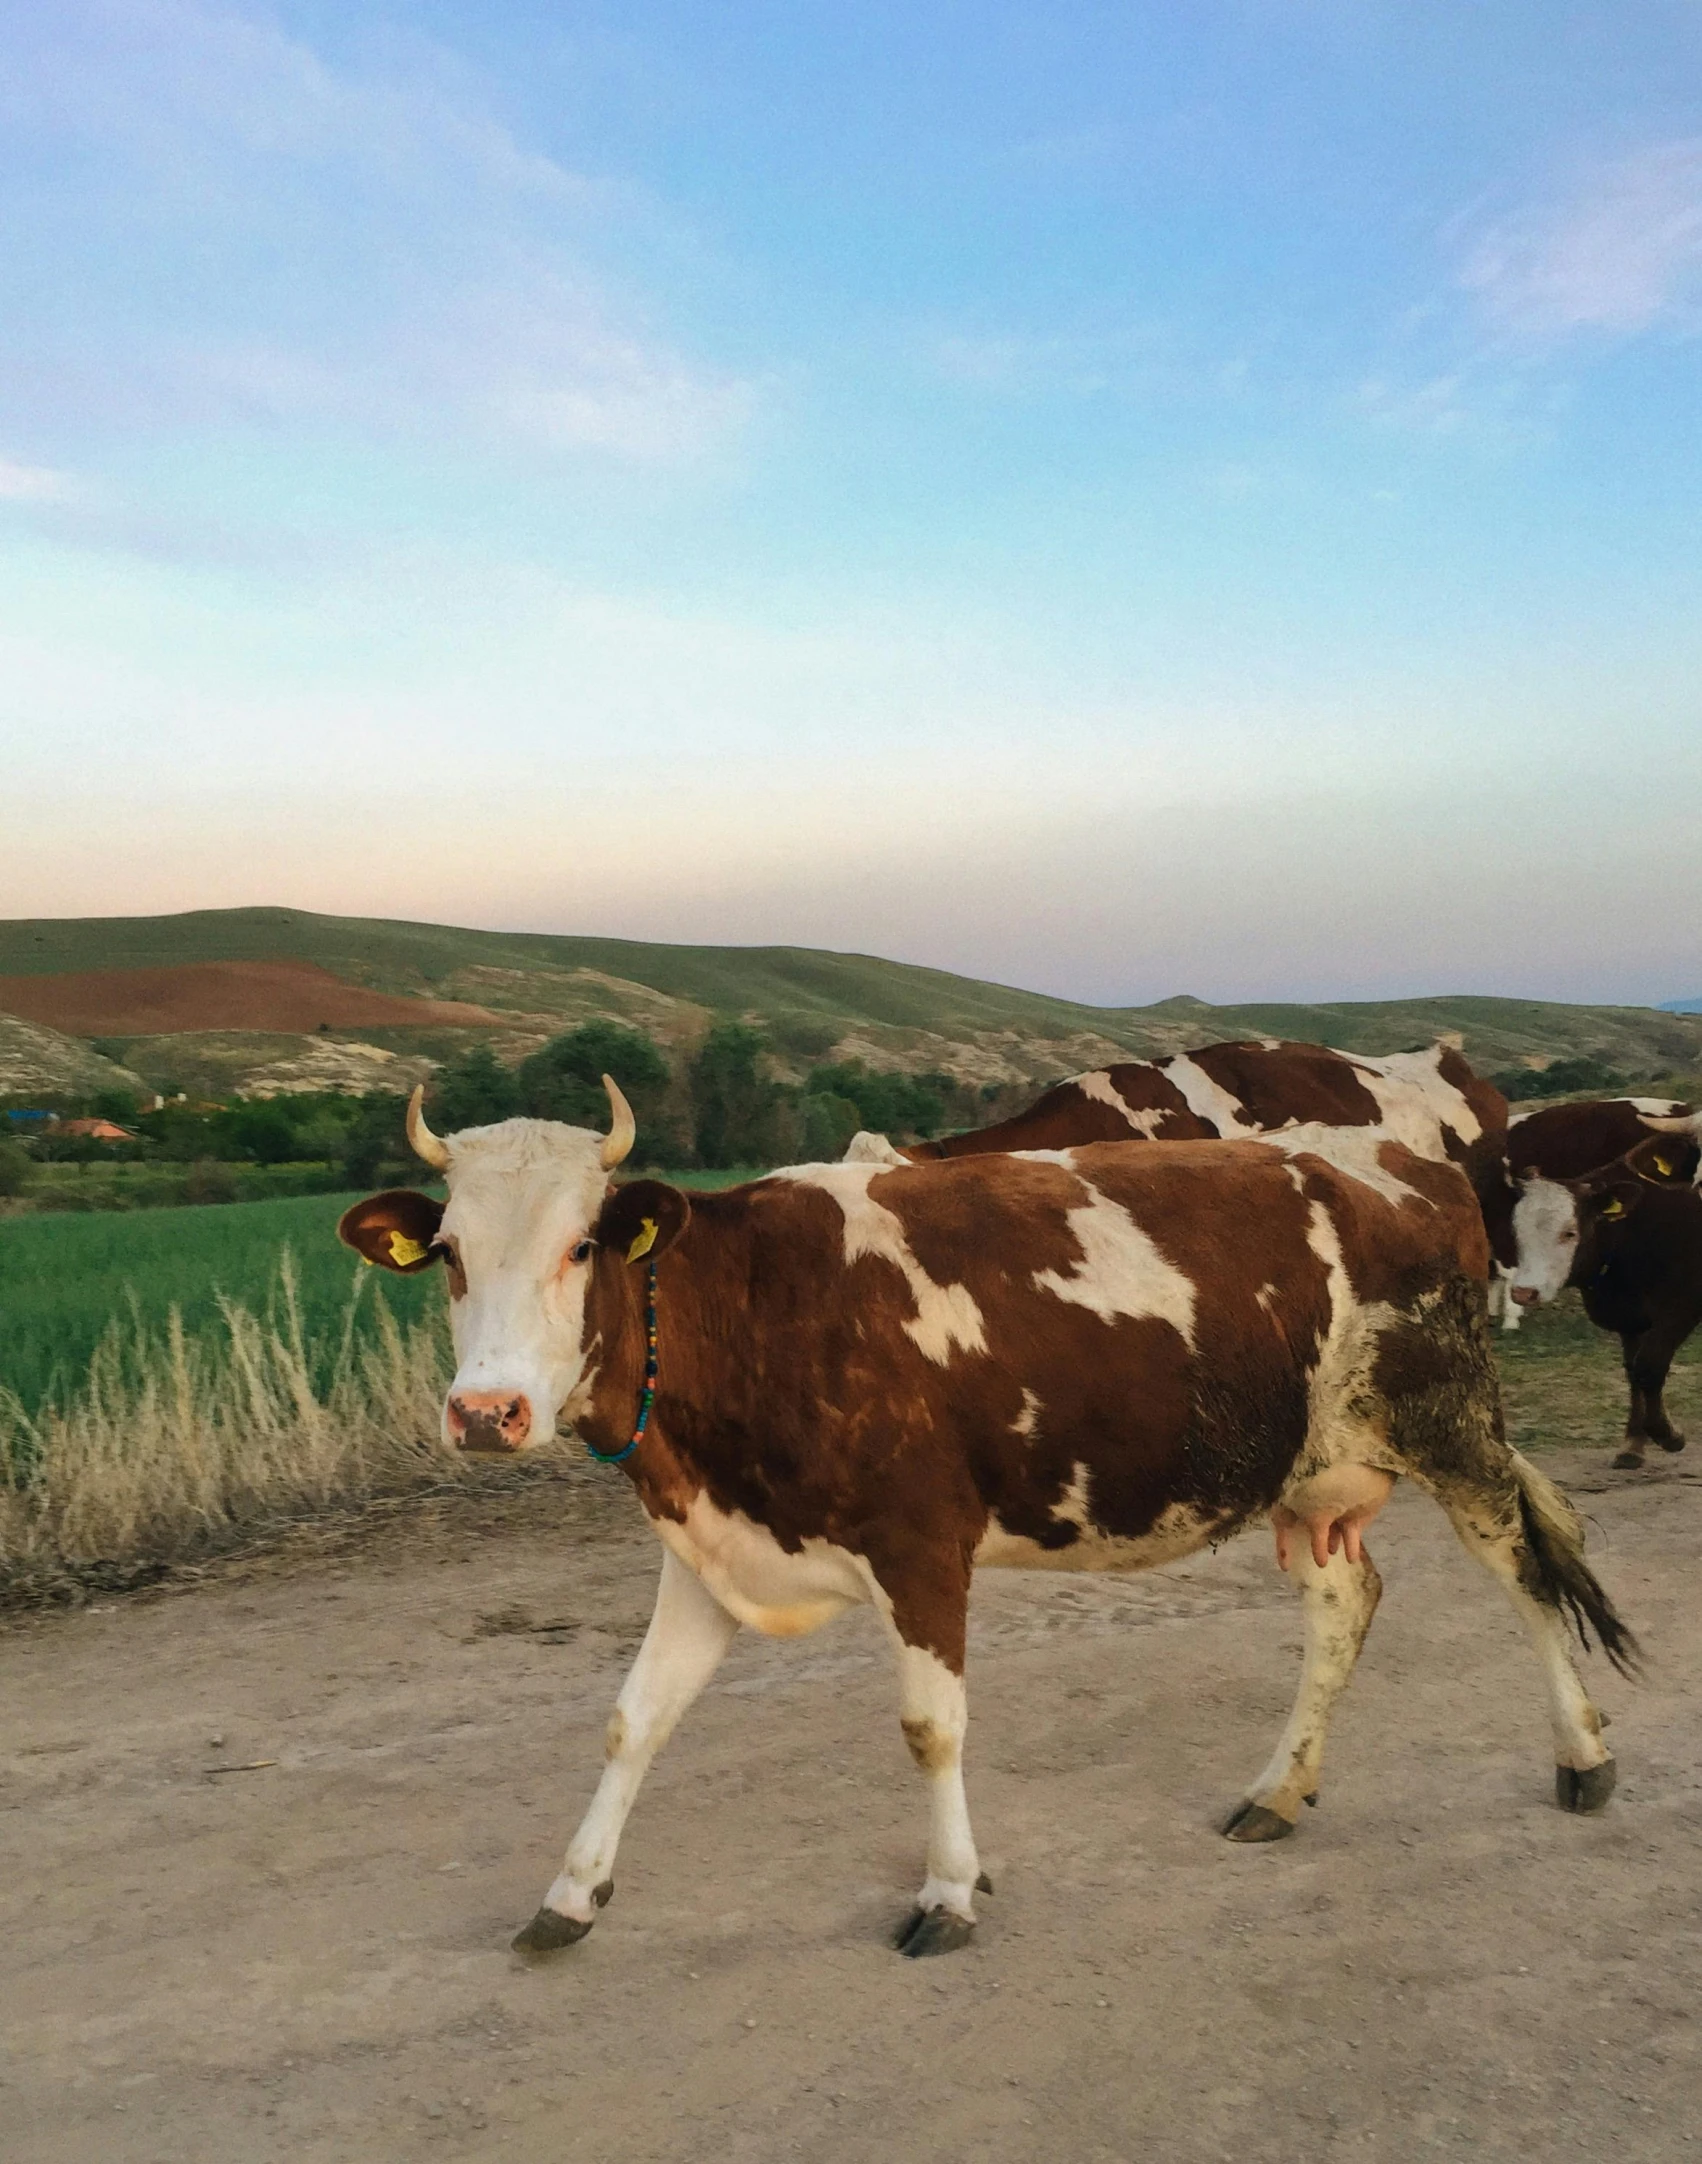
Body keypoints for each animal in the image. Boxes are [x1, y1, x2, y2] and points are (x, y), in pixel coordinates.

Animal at [343, 1082, 1634, 1964]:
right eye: (447, 1253)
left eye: (580, 1245)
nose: (487, 1413)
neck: (754, 1307)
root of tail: (1401, 1156)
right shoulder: (712, 1551)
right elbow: (630, 1723)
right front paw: (568, 1895)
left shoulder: (921, 1546)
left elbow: (930, 1728)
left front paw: (947, 1893)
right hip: (1303, 1472)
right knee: (1345, 1603)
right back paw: (1278, 1789)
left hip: (1446, 1421)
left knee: (1523, 1570)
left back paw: (1582, 1757)